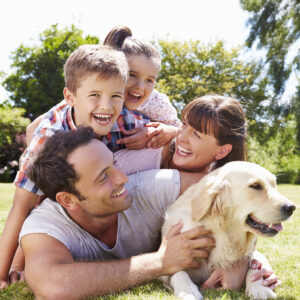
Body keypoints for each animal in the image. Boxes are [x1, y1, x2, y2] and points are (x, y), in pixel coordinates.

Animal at [162, 162, 296, 300]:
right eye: (255, 186)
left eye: (274, 185)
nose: (291, 207)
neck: (222, 234)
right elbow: (178, 271)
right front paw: (188, 291)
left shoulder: (252, 253)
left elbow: (255, 265)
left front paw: (260, 288)